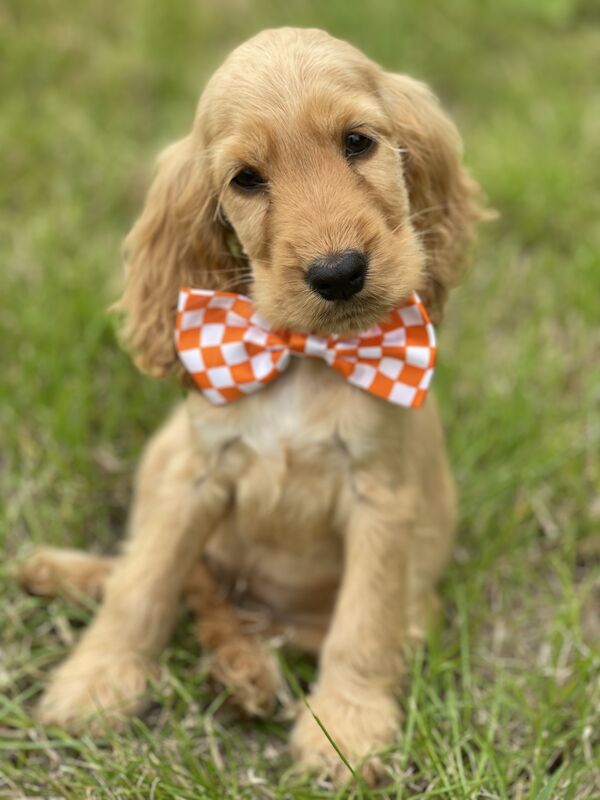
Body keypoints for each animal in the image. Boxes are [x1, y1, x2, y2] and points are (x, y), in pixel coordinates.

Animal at [19, 26, 482, 788]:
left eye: (358, 142)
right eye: (245, 179)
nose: (338, 273)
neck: (302, 354)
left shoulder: (381, 501)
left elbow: (363, 625)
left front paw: (346, 730)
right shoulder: (193, 475)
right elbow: (143, 585)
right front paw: (95, 683)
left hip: (403, 612)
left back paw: (245, 674)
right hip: (161, 457)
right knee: (175, 580)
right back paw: (64, 574)